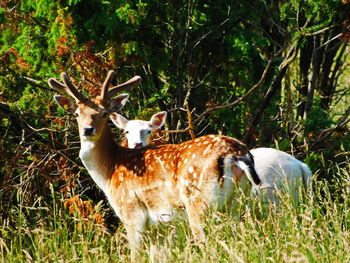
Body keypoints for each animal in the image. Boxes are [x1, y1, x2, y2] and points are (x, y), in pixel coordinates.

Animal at [47, 70, 262, 258]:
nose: (87, 130)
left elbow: (135, 255)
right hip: (237, 201)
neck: (110, 170)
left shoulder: (131, 212)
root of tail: (236, 153)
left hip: (200, 202)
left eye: (104, 113)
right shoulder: (157, 225)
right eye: (77, 114)